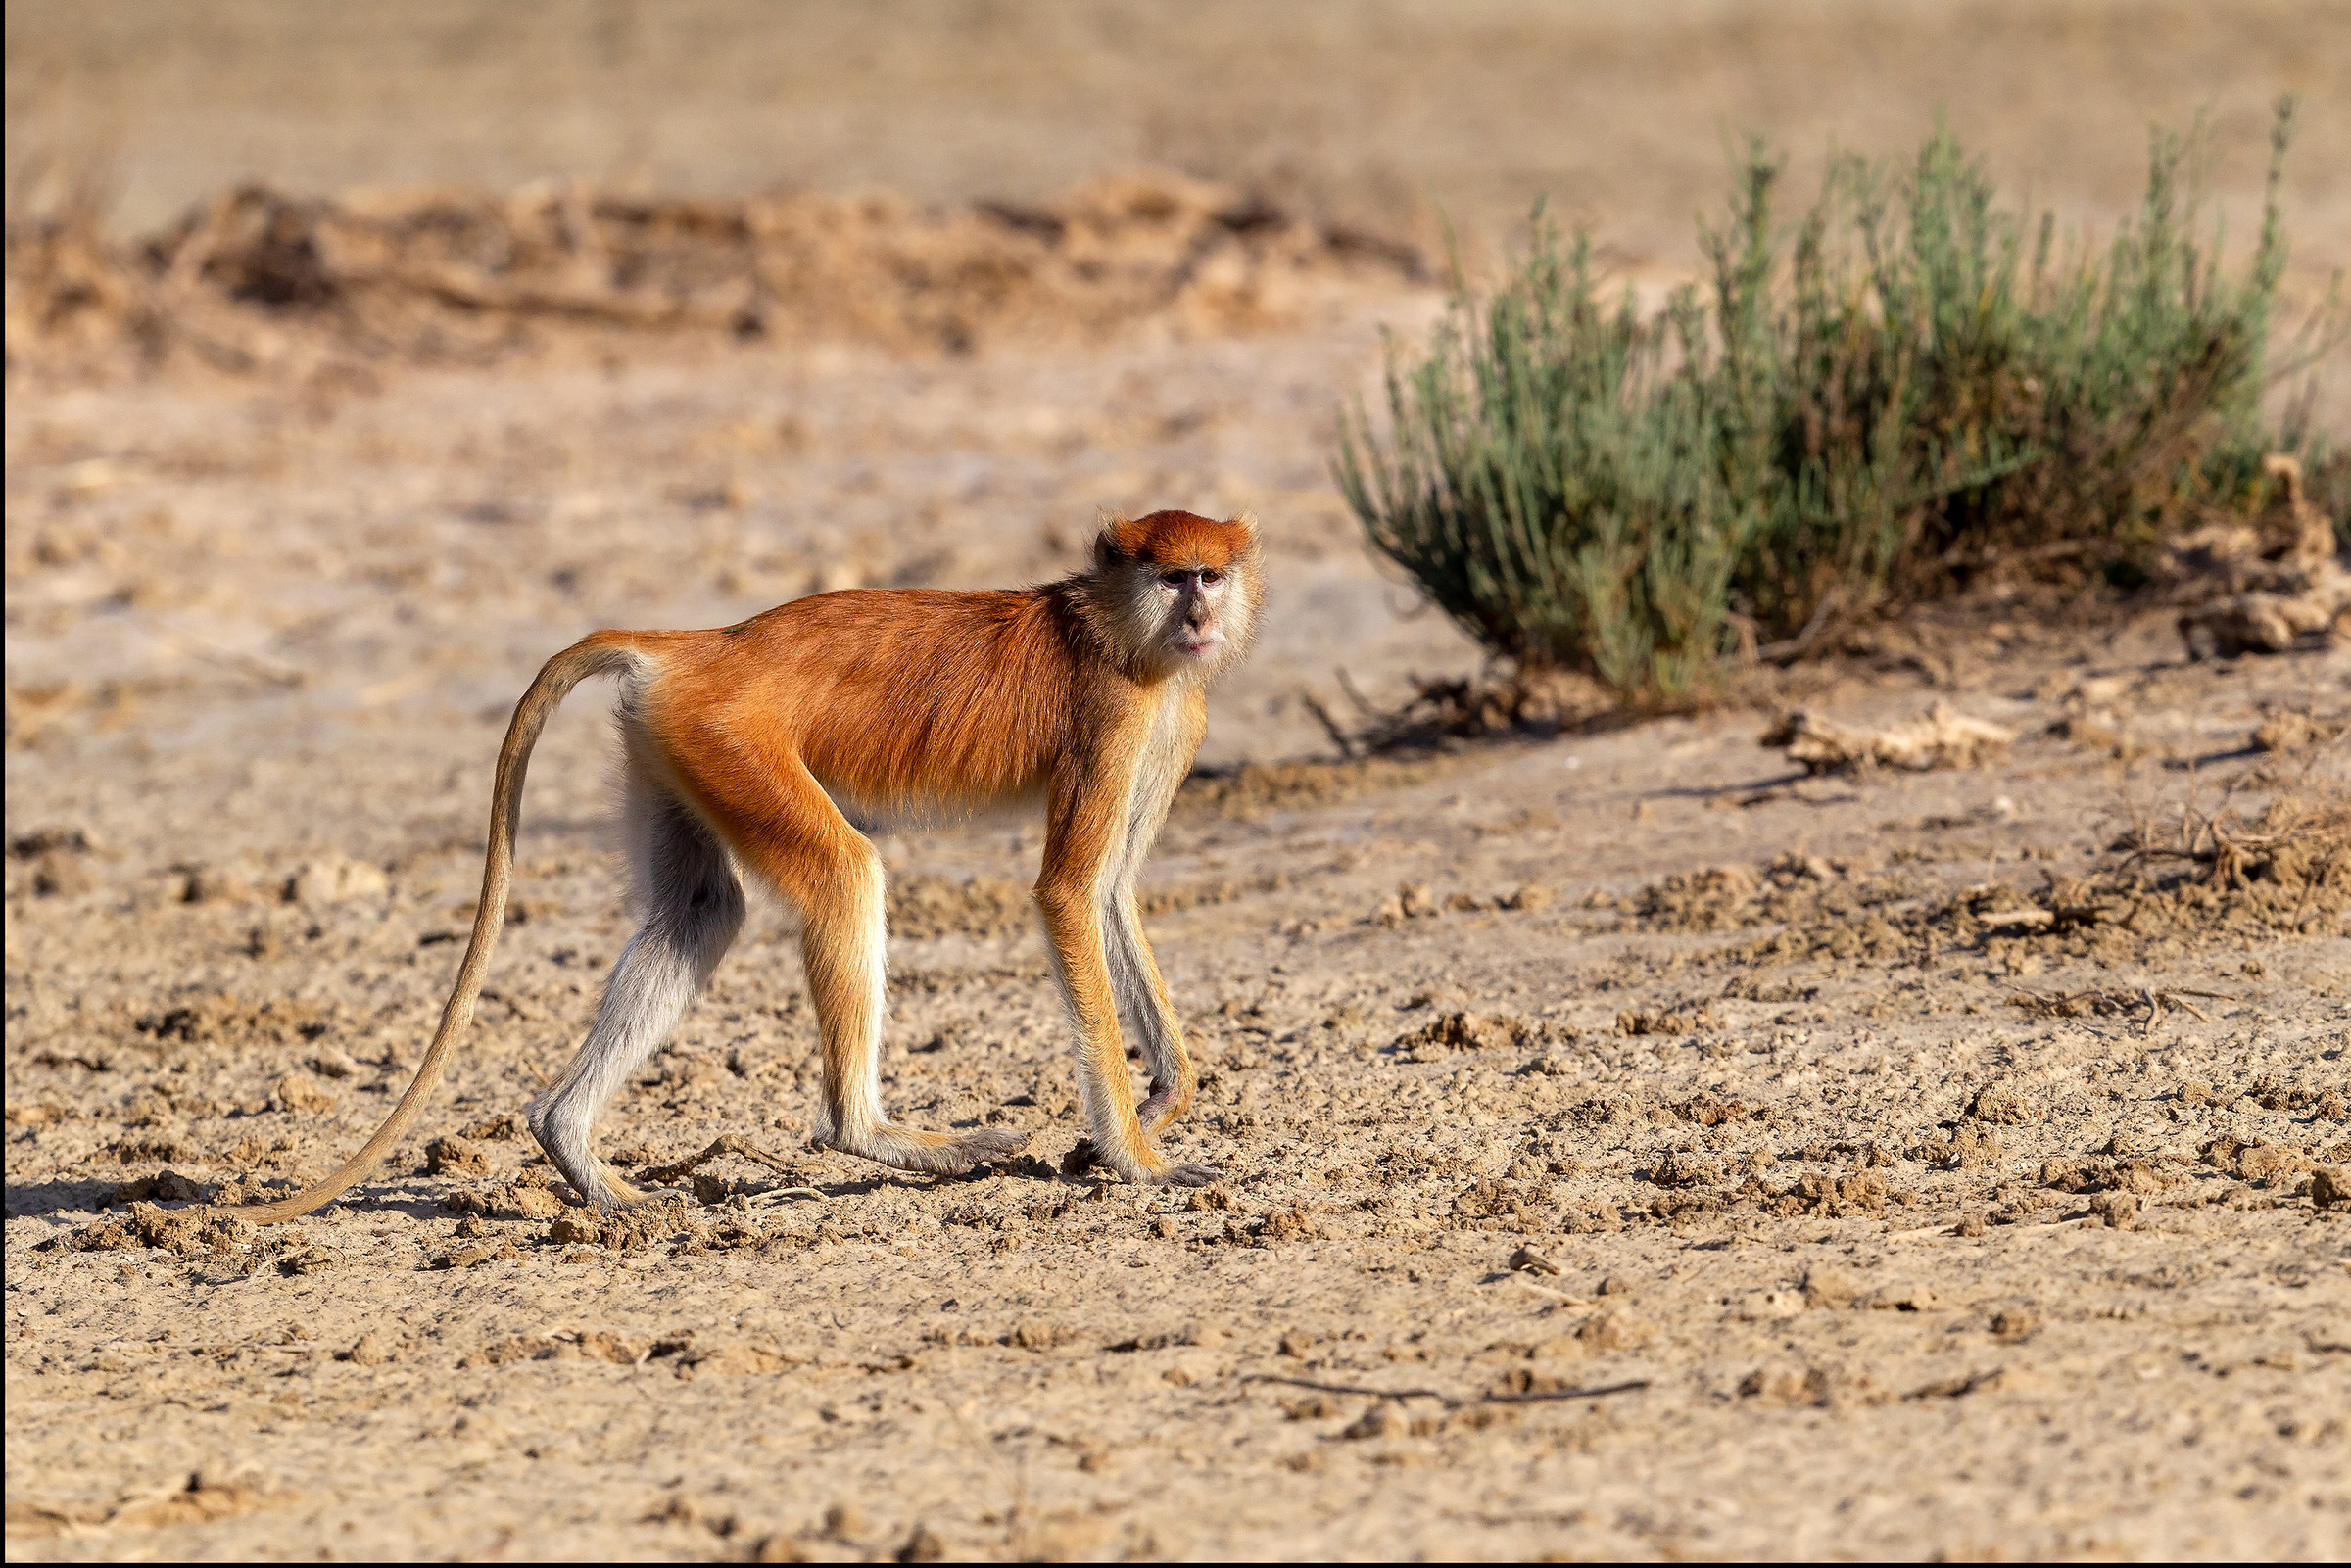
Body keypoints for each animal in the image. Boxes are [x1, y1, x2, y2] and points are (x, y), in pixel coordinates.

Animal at [234, 509, 1262, 1223]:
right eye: (1174, 576)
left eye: (1211, 573)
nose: (1201, 613)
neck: (1112, 626)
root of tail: (705, 645)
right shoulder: (1114, 714)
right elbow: (1066, 893)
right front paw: (1137, 1159)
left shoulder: (1171, 716)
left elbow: (1110, 894)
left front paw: (1168, 1093)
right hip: (730, 738)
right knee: (845, 874)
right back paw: (871, 1133)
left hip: (674, 745)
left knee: (700, 910)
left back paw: (572, 1145)